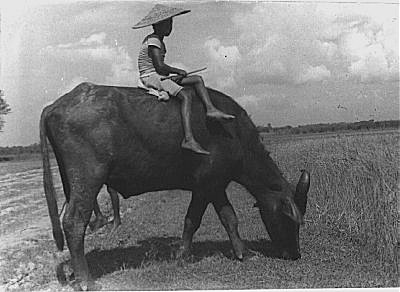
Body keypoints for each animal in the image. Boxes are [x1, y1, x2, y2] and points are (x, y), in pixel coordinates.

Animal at [39, 82, 310, 290]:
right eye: (289, 218)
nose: (295, 254)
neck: (233, 134)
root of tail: (56, 104)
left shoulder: (216, 187)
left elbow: (228, 218)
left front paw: (242, 252)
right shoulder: (205, 186)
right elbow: (193, 220)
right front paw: (183, 255)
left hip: (70, 183)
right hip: (88, 179)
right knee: (74, 222)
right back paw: (87, 281)